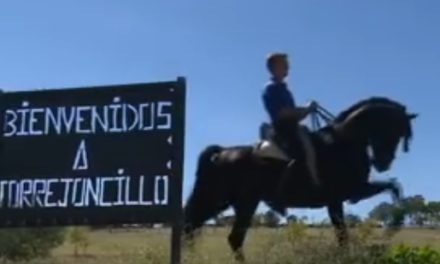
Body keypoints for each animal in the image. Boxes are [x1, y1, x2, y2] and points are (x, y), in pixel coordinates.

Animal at [182, 96, 416, 260]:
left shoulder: (340, 199)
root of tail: (222, 152)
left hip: (225, 202)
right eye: (392, 129)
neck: (344, 141)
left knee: (196, 228)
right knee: (226, 236)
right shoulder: (349, 192)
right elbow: (392, 187)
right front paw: (396, 219)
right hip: (236, 202)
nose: (383, 163)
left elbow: (344, 232)